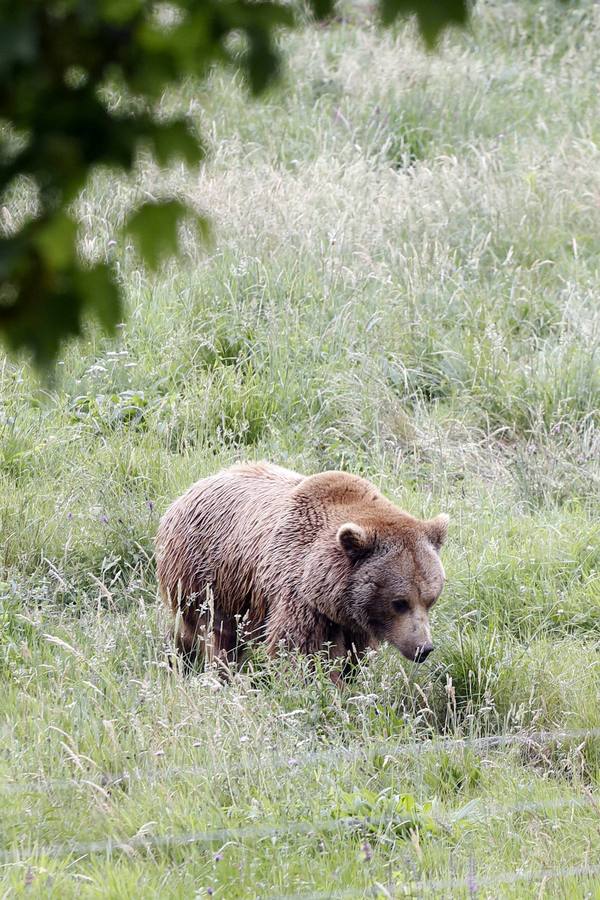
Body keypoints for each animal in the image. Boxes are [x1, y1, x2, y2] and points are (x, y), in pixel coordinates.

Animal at [157, 460, 448, 680]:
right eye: (399, 602)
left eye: (430, 599)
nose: (423, 648)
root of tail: (187, 492)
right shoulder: (299, 593)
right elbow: (299, 649)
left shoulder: (350, 619)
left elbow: (354, 654)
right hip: (208, 576)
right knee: (214, 632)